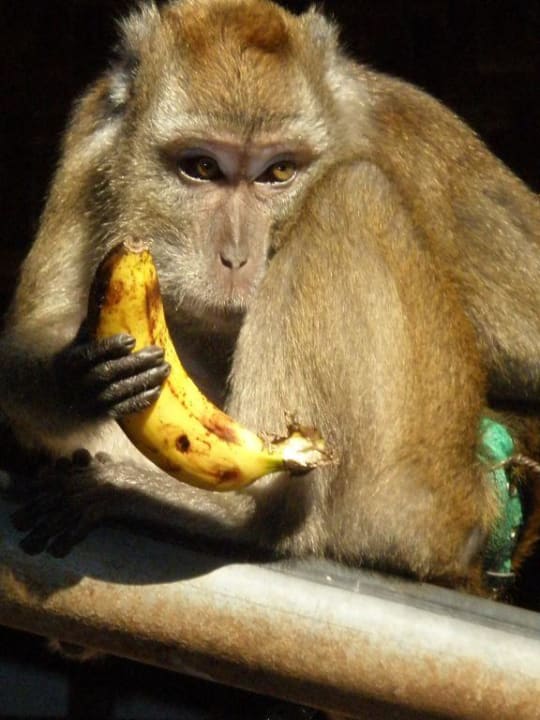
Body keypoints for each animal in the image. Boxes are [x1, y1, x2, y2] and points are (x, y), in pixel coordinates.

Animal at [1, 0, 540, 595]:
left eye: (278, 171)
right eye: (202, 167)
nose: (236, 257)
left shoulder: (406, 128)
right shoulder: (90, 146)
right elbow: (31, 337)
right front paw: (81, 376)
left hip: (436, 497)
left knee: (352, 192)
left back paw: (250, 514)